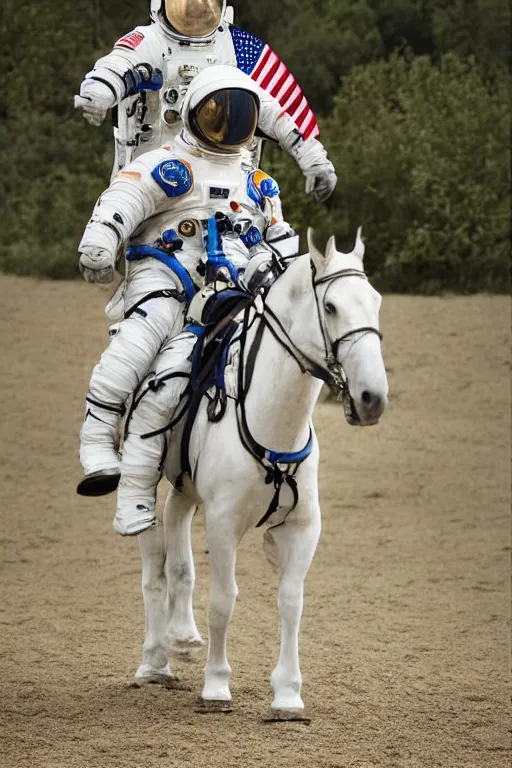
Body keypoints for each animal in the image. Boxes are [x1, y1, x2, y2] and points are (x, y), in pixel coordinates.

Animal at [134, 228, 386, 720]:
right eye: (331, 307)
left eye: (376, 301)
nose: (372, 398)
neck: (270, 426)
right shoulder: (223, 524)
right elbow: (224, 600)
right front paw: (216, 687)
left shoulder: (304, 526)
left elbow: (290, 601)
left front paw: (288, 694)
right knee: (155, 567)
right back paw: (155, 661)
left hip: (186, 489)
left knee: (178, 551)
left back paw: (182, 636)